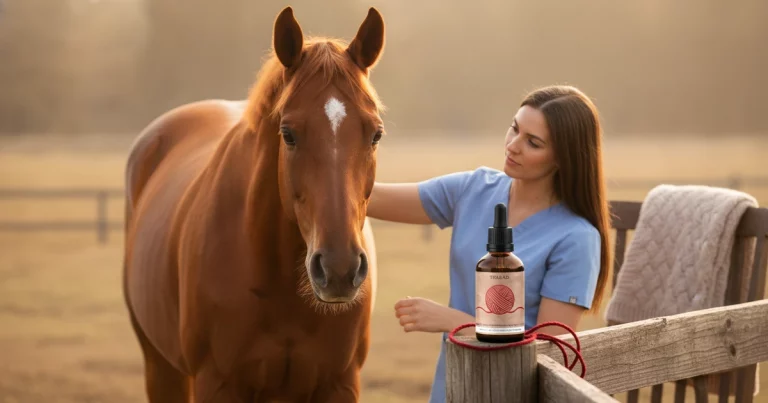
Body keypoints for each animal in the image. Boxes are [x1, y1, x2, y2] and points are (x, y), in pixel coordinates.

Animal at [122, 6, 385, 402]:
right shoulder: (217, 383)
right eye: (288, 134)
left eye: (375, 134)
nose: (339, 269)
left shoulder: (339, 384)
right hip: (161, 367)